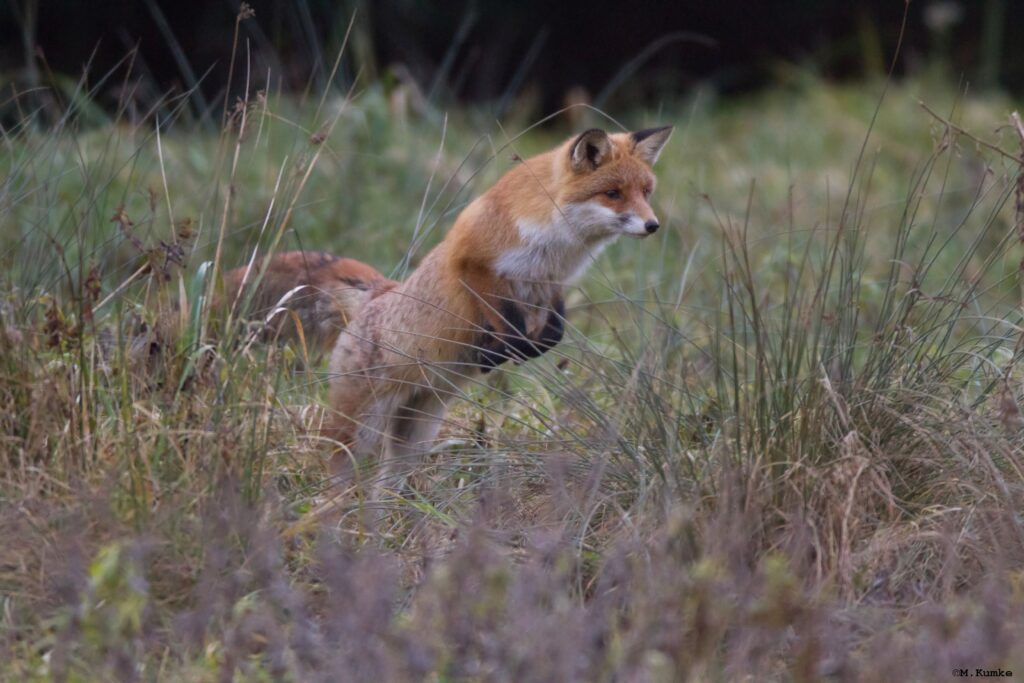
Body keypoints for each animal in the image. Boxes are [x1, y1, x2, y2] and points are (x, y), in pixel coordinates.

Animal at [327, 125, 673, 476]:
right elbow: (513, 330)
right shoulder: (473, 263)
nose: (653, 225)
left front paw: (507, 352)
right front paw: (494, 353)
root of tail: (367, 303)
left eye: (646, 192)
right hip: (359, 431)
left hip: (416, 432)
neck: (556, 242)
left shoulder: (551, 283)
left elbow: (551, 335)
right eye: (613, 193)